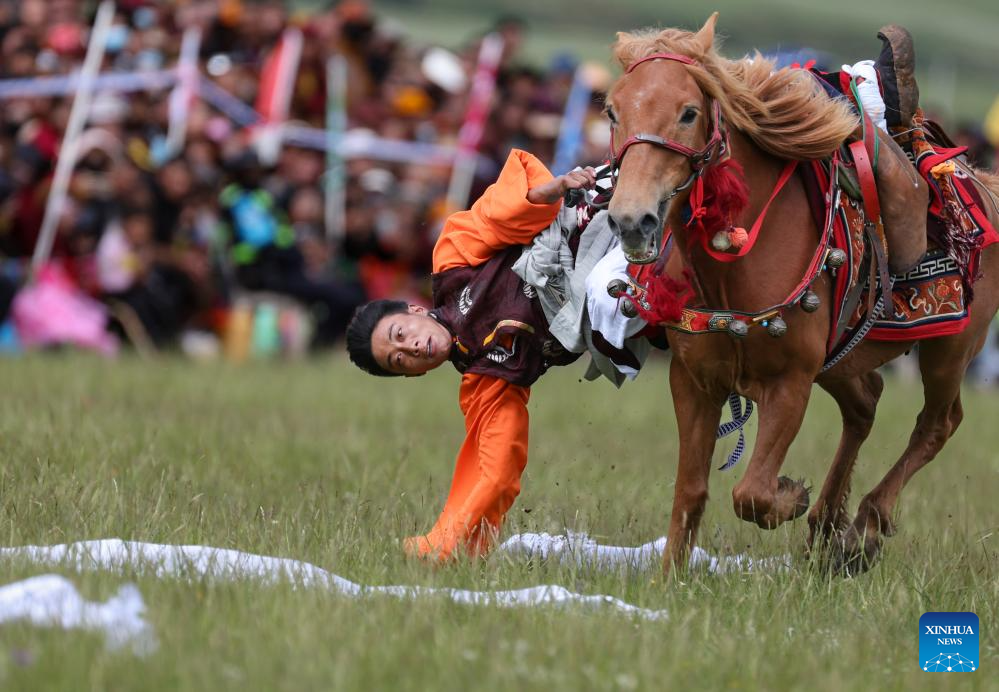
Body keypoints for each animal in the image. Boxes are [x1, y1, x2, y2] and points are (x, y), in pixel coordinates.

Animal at [604, 17, 999, 580]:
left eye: (688, 112)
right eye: (612, 112)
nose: (631, 219)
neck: (736, 261)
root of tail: (982, 185)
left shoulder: (789, 382)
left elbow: (750, 493)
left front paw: (790, 496)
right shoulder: (694, 380)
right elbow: (691, 491)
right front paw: (669, 579)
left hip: (951, 349)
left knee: (937, 424)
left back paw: (863, 528)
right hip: (843, 355)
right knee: (865, 404)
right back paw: (828, 525)